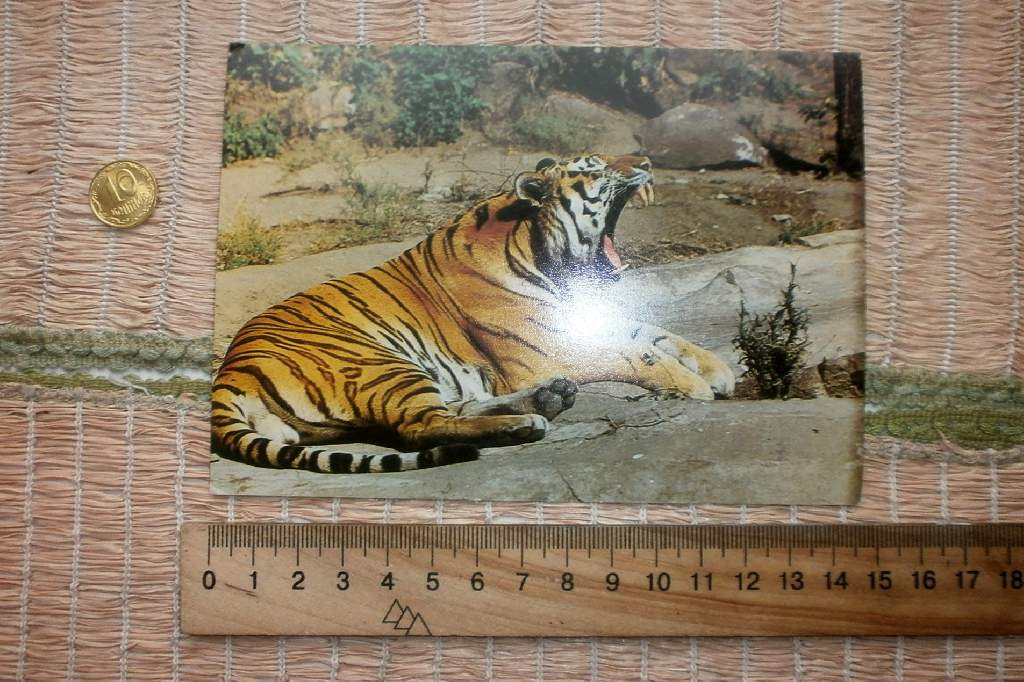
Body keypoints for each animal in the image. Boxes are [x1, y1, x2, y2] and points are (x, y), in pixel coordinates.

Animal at [211, 154, 735, 474]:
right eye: (596, 168)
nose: (646, 163)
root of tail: (229, 373)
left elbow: (659, 335)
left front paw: (720, 371)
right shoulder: (544, 351)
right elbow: (639, 355)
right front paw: (695, 387)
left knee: (450, 408)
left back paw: (546, 400)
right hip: (379, 363)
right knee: (420, 426)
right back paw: (526, 423)